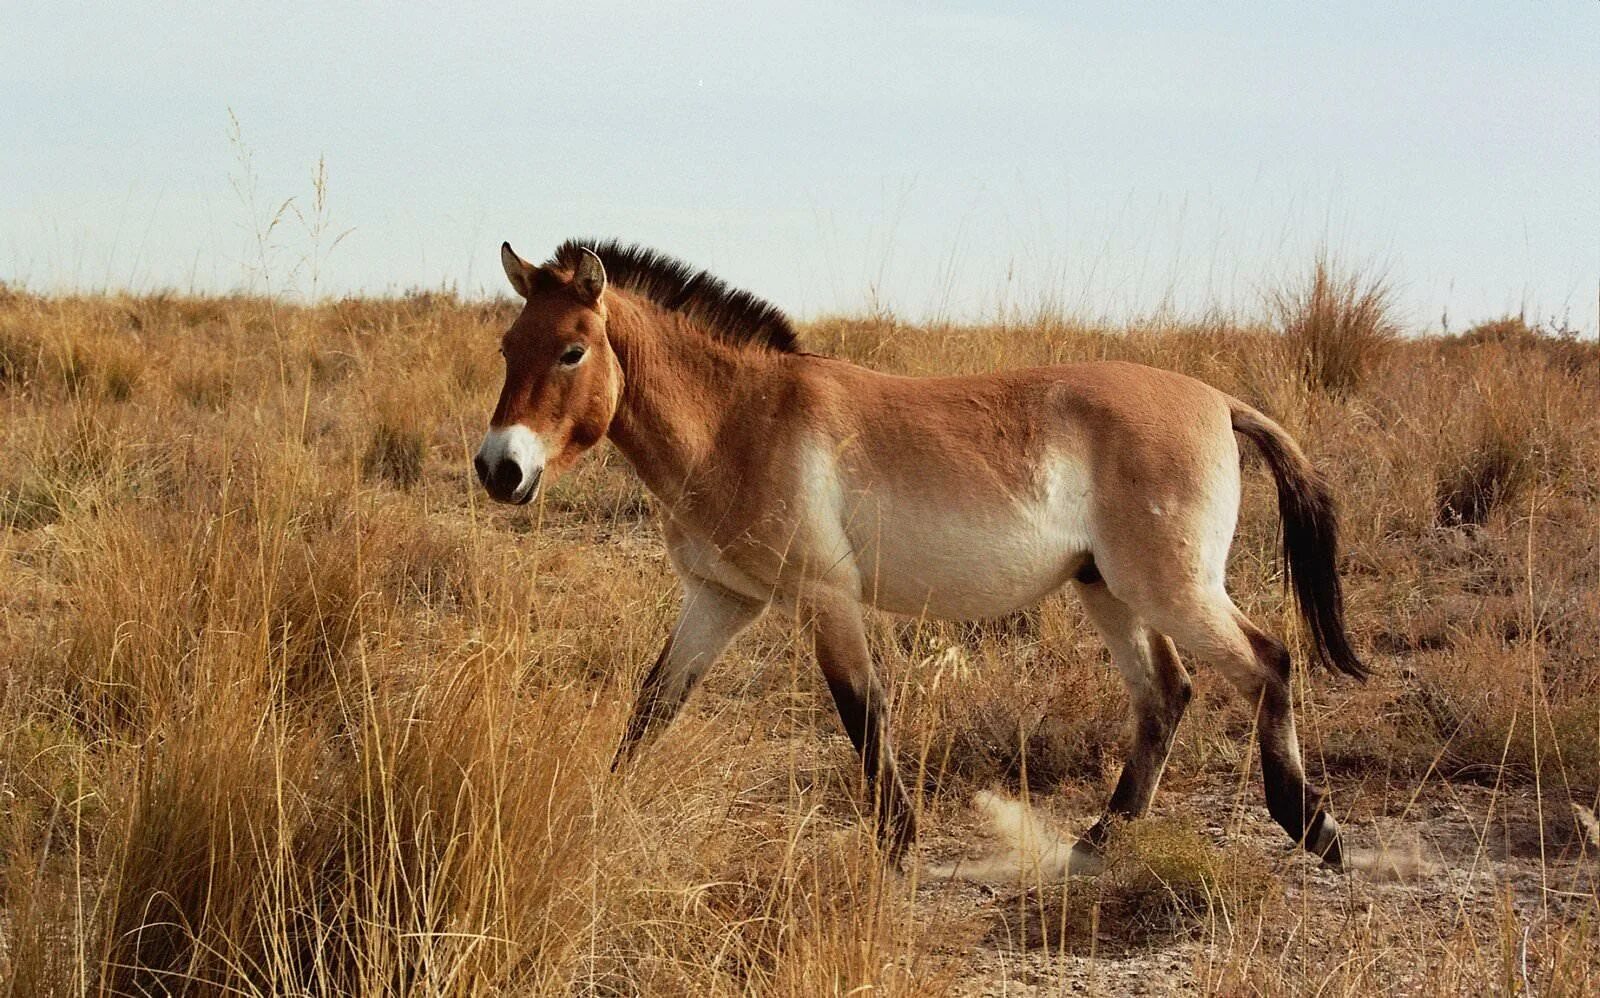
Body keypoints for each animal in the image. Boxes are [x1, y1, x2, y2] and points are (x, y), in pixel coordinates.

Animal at [473, 238, 1363, 870]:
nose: (499, 469)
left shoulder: (824, 596)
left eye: (572, 351)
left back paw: (1312, 826)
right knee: (1167, 695)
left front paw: (898, 848)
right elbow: (653, 708)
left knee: (1267, 663)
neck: (739, 419)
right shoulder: (722, 599)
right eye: (508, 347)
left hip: (1172, 588)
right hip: (1108, 590)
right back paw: (1101, 841)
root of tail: (1219, 400)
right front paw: (596, 817)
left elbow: (864, 712)